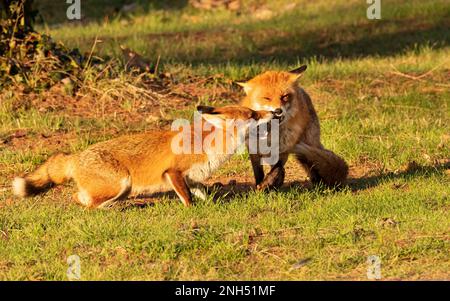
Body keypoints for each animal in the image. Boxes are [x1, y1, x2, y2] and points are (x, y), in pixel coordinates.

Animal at [12, 104, 280, 207]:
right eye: (253, 115)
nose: (275, 112)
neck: (209, 146)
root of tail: (76, 157)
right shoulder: (173, 172)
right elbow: (187, 199)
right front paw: (192, 211)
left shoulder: (192, 178)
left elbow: (202, 193)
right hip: (121, 183)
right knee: (84, 202)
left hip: (123, 188)